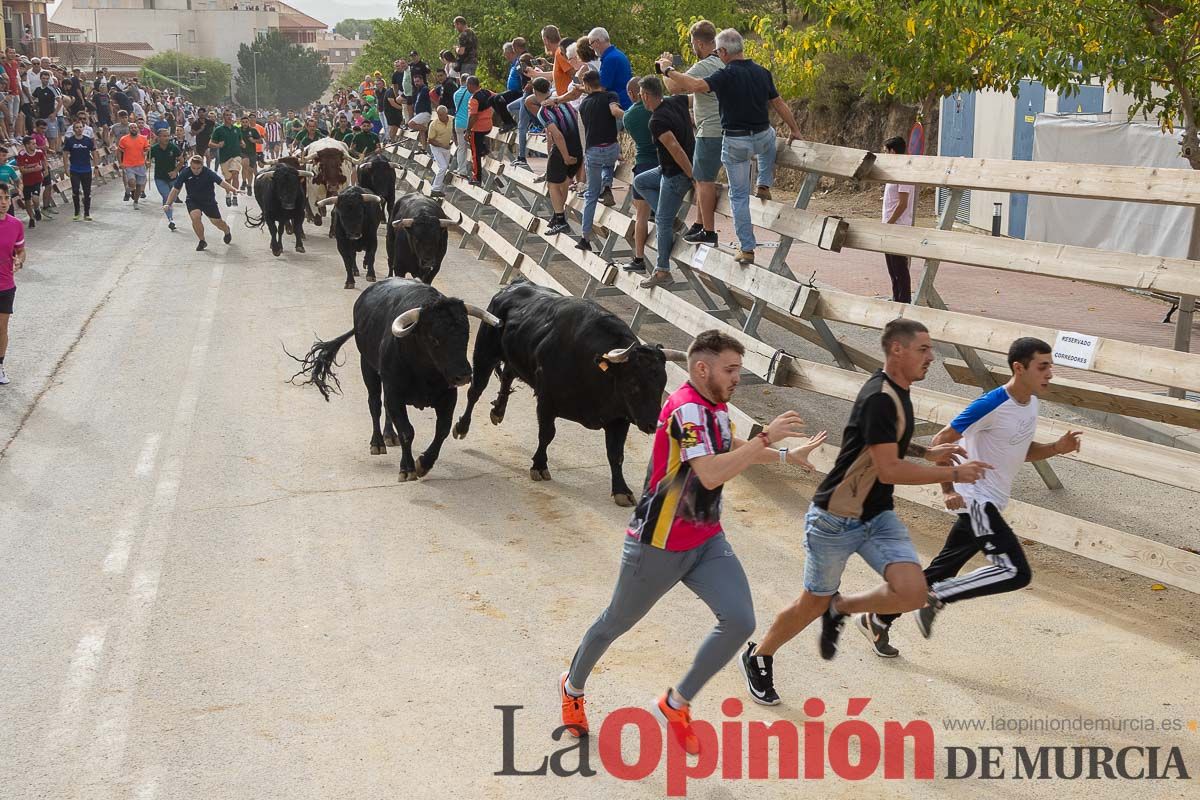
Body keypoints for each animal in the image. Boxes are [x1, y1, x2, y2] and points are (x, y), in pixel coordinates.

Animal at [288, 278, 499, 482]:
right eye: (434, 338)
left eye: (466, 334)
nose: (464, 375)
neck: (425, 373)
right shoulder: (394, 392)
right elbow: (407, 431)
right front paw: (407, 469)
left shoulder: (447, 396)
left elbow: (442, 430)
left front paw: (424, 463)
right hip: (368, 368)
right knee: (375, 404)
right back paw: (378, 443)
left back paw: (390, 435)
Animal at [451, 283, 686, 506]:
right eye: (632, 383)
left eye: (662, 384)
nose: (652, 423)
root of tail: (513, 286)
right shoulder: (546, 402)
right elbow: (547, 434)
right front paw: (539, 465)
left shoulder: (620, 417)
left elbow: (616, 454)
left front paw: (622, 491)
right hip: (485, 352)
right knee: (475, 391)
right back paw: (462, 426)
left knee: (508, 374)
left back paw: (498, 412)